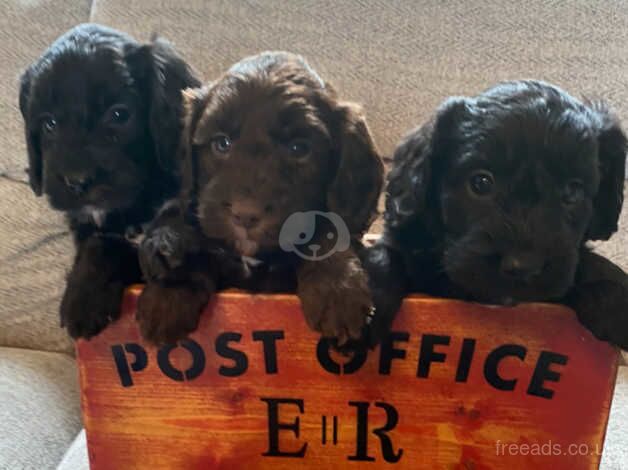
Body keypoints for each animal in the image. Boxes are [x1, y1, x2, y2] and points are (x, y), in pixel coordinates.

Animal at [18, 23, 199, 338]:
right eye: (49, 123)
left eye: (119, 114)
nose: (77, 181)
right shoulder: (87, 227)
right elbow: (99, 243)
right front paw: (84, 297)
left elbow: (176, 225)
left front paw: (169, 301)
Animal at [137, 51, 382, 346]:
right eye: (221, 144)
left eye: (299, 148)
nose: (245, 214)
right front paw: (169, 291)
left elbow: (329, 226)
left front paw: (337, 289)